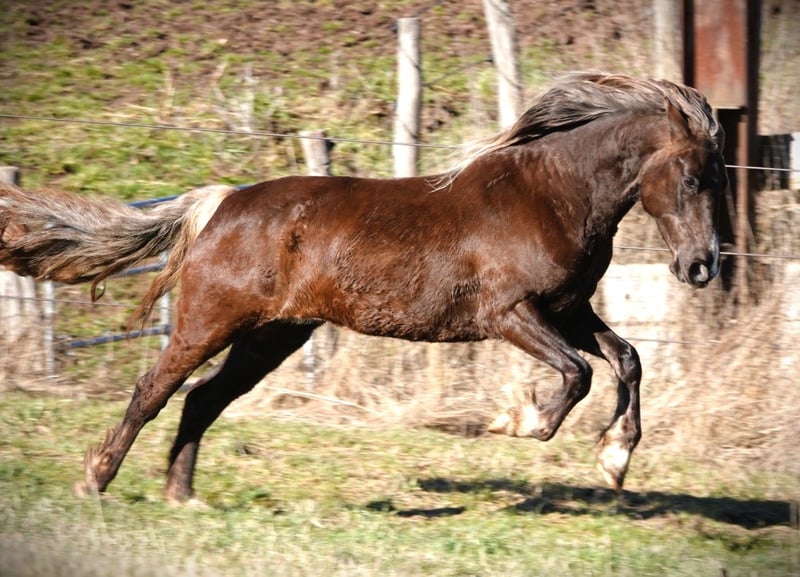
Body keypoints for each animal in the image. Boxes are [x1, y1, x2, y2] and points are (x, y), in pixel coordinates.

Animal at [0, 73, 727, 502]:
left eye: (718, 177)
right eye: (692, 176)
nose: (701, 266)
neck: (548, 195)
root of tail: (221, 202)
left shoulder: (568, 310)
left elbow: (627, 358)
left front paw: (615, 459)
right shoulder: (509, 314)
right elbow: (577, 374)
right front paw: (519, 420)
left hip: (272, 336)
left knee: (202, 398)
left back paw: (184, 496)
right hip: (212, 320)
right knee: (153, 389)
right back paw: (96, 480)